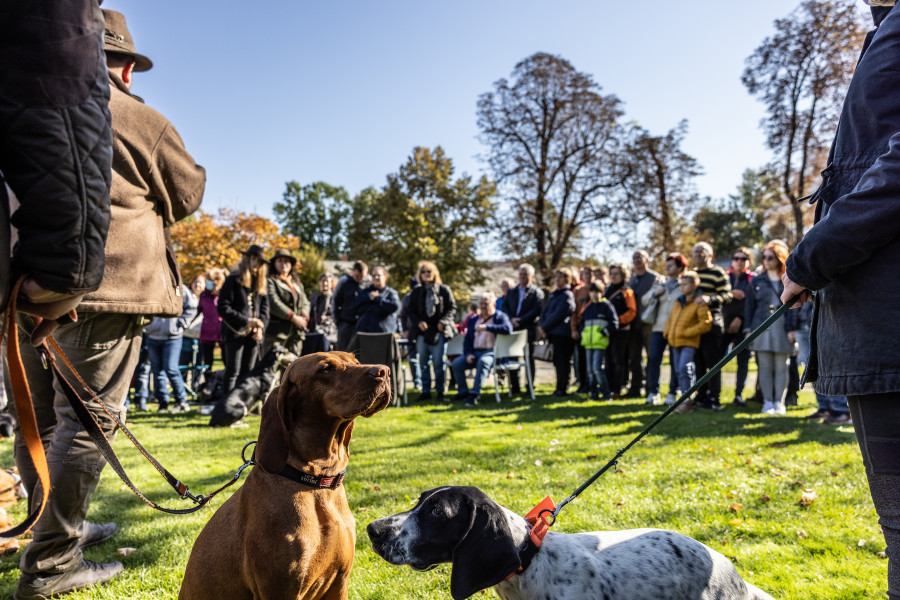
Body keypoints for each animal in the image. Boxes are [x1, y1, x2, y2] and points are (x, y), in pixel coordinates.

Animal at [178, 352, 390, 600]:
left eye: (356, 361)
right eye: (325, 369)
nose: (384, 371)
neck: (316, 483)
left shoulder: (339, 583)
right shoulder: (280, 590)